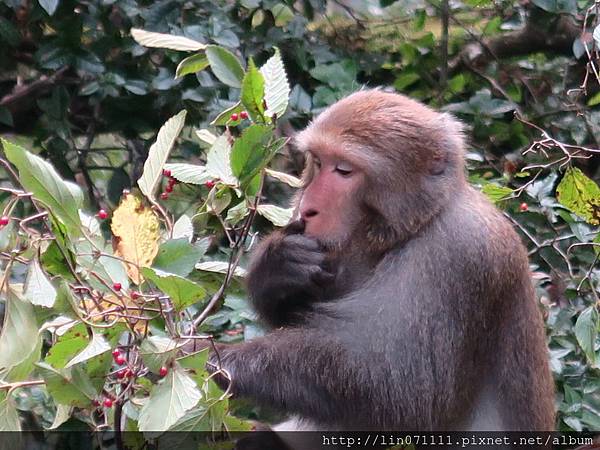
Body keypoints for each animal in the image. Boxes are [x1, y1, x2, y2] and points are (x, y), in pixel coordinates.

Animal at [204, 89, 556, 440]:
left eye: (344, 170)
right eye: (318, 162)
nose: (307, 208)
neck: (415, 225)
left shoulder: (459, 253)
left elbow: (404, 390)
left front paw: (222, 361)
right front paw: (278, 266)